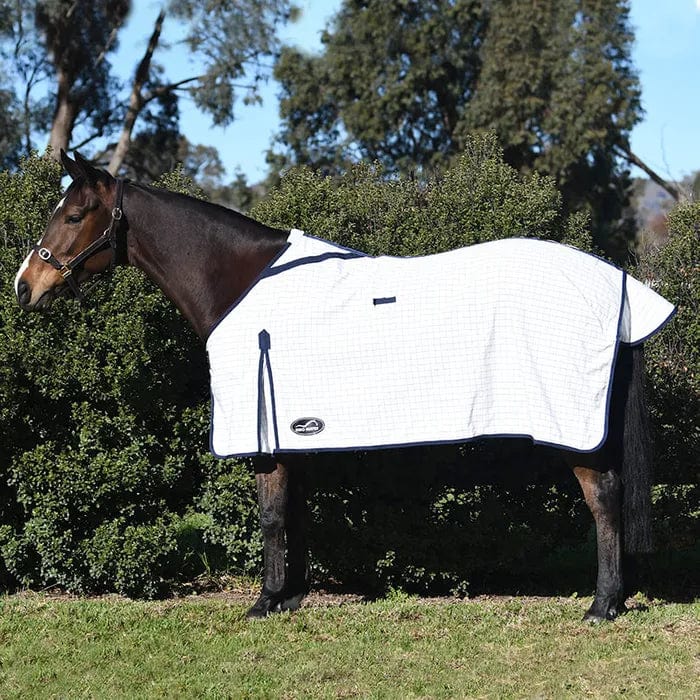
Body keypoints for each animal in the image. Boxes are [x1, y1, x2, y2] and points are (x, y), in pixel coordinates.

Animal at [15, 151, 671, 622]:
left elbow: (271, 515)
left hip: (574, 427)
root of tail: (619, 284)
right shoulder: (291, 430)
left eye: (73, 215)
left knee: (604, 499)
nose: (26, 285)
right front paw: (291, 595)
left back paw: (601, 606)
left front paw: (264, 603)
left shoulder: (264, 431)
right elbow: (293, 513)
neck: (240, 285)